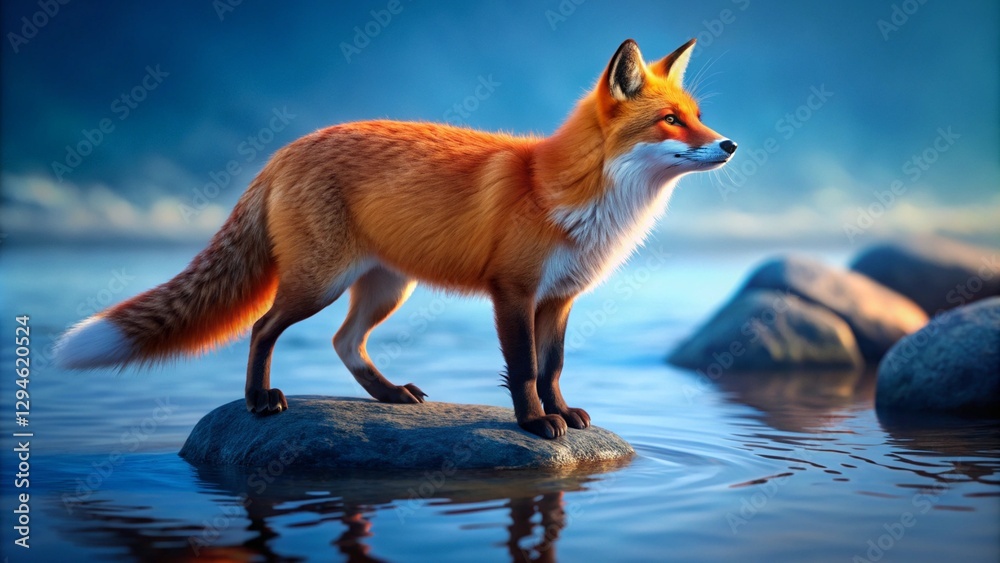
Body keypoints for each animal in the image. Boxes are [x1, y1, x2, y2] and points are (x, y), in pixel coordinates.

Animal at [55, 39, 736, 439]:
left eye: (697, 115)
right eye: (670, 120)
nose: (729, 144)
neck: (573, 195)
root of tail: (286, 149)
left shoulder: (560, 299)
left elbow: (554, 367)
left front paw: (562, 412)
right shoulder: (513, 293)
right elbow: (522, 369)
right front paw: (534, 424)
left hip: (386, 289)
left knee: (343, 341)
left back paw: (387, 396)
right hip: (320, 283)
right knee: (263, 328)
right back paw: (258, 401)